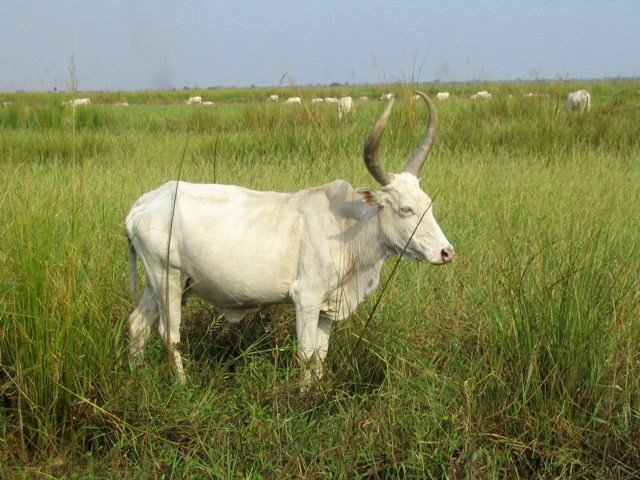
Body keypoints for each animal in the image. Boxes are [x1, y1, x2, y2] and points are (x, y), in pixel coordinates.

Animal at [126, 92, 456, 388]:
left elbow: (319, 358)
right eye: (406, 209)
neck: (347, 225)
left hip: (159, 284)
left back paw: (136, 376)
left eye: (428, 204)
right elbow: (307, 355)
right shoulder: (306, 299)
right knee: (170, 335)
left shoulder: (326, 307)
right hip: (166, 279)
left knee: (138, 325)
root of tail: (146, 203)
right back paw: (182, 385)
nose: (446, 252)